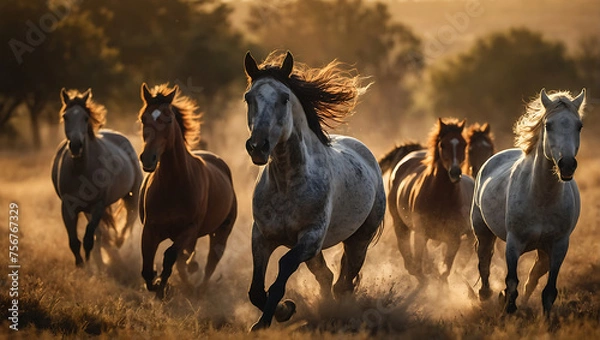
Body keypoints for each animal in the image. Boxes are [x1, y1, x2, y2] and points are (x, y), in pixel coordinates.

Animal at [50, 88, 142, 268]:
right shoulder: (68, 208)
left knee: (128, 222)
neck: (80, 170)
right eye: (65, 116)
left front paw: (93, 265)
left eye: (86, 118)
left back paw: (119, 245)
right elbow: (74, 242)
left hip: (132, 197)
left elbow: (88, 240)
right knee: (100, 234)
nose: (76, 146)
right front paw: (82, 266)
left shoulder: (98, 206)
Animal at [138, 82, 237, 298]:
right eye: (143, 118)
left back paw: (199, 289)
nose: (148, 158)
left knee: (210, 262)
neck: (173, 185)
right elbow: (148, 267)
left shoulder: (189, 230)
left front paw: (162, 288)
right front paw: (156, 283)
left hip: (221, 233)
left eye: (168, 119)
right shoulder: (150, 229)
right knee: (185, 262)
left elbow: (170, 257)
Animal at [243, 51, 384, 330]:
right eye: (248, 97)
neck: (286, 185)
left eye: (284, 98)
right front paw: (282, 312)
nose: (257, 147)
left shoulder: (310, 238)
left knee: (344, 282)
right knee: (327, 277)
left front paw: (272, 316)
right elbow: (255, 290)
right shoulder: (261, 237)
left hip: (359, 240)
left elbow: (282, 269)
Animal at [384, 118, 474, 282]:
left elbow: (445, 271)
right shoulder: (420, 234)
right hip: (400, 223)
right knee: (405, 249)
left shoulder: (454, 239)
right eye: (442, 144)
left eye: (464, 144)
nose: (455, 172)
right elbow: (419, 266)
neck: (439, 197)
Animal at [472, 89, 584, 318]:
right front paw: (508, 310)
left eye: (579, 126)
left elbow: (548, 290)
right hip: (482, 230)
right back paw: (485, 295)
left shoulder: (559, 246)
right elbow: (511, 281)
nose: (567, 165)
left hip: (544, 251)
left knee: (533, 277)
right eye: (548, 125)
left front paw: (545, 320)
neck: (542, 197)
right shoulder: (513, 243)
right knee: (484, 261)